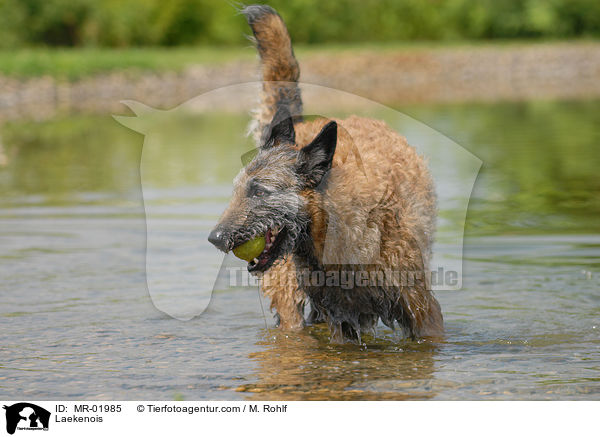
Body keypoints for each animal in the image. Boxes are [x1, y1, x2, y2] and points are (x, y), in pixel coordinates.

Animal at [209, 5, 442, 342]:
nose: (214, 238)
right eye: (237, 191)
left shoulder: (422, 312)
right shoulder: (341, 320)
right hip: (288, 293)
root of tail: (299, 126)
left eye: (259, 192)